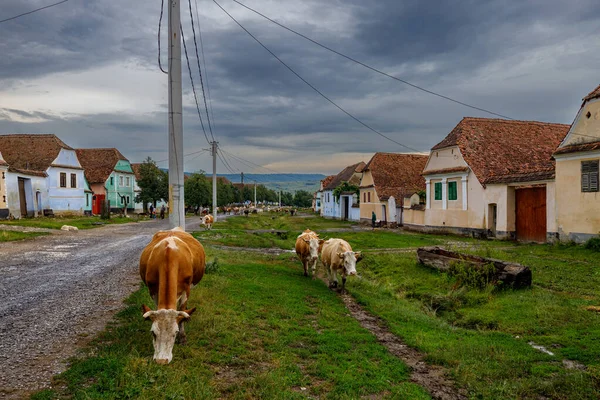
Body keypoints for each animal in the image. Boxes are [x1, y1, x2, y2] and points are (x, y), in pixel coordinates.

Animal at [140, 227, 206, 364]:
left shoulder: (186, 289)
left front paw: (183, 338)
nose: (161, 361)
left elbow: (182, 310)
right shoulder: (153, 290)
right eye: (153, 333)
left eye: (175, 333)